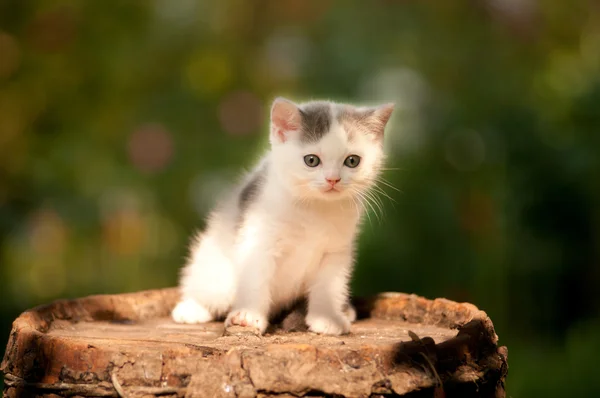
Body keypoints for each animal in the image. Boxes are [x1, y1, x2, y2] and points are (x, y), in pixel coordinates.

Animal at [171, 97, 394, 336]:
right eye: (311, 160)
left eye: (352, 161)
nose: (332, 179)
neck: (314, 208)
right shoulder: (258, 239)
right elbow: (255, 278)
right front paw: (249, 316)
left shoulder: (337, 251)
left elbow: (329, 285)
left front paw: (327, 318)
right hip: (215, 272)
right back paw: (191, 309)